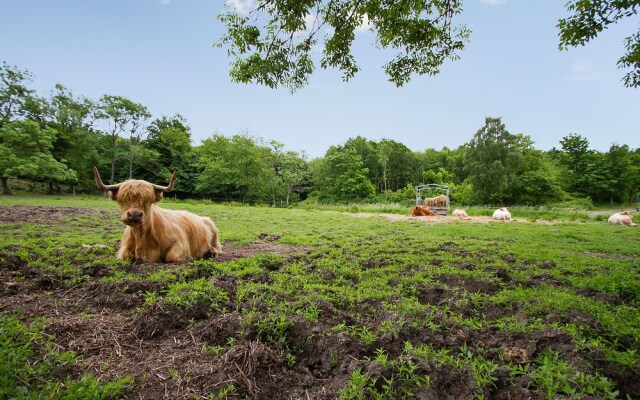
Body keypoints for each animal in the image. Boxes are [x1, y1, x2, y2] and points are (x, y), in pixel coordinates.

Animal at [92, 167, 222, 264]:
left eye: (148, 200)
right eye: (122, 198)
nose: (134, 215)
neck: (141, 237)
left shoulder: (180, 243)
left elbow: (172, 256)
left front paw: (188, 258)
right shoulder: (124, 248)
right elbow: (126, 255)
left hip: (214, 234)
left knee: (217, 247)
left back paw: (211, 252)